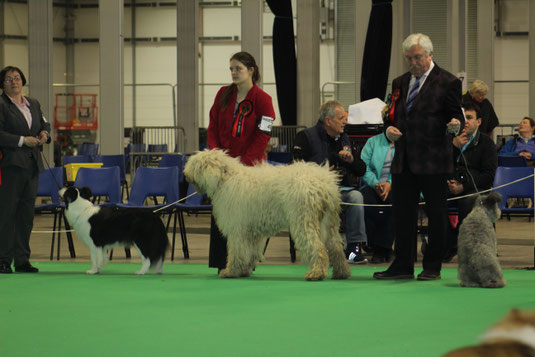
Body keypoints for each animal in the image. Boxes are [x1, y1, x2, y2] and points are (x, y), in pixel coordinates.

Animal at [184, 149, 352, 280]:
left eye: (195, 164)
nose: (185, 174)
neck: (225, 178)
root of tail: (324, 183)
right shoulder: (250, 231)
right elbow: (249, 251)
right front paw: (245, 270)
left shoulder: (238, 228)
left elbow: (237, 251)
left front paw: (231, 271)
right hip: (330, 222)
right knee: (336, 246)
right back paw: (341, 273)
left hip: (304, 220)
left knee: (317, 247)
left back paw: (316, 273)